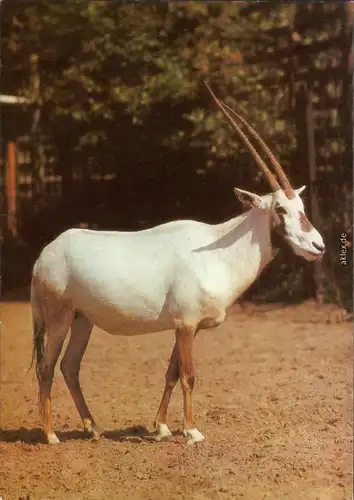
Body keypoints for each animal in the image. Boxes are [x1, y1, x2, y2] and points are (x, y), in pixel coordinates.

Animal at [31, 85, 324, 446]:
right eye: (280, 210)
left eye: (301, 206)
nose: (318, 246)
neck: (217, 251)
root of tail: (46, 254)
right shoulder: (185, 325)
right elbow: (189, 376)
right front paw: (192, 431)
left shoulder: (187, 326)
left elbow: (171, 373)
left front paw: (161, 427)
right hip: (58, 318)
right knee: (47, 366)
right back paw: (50, 434)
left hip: (82, 320)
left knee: (69, 366)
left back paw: (93, 427)